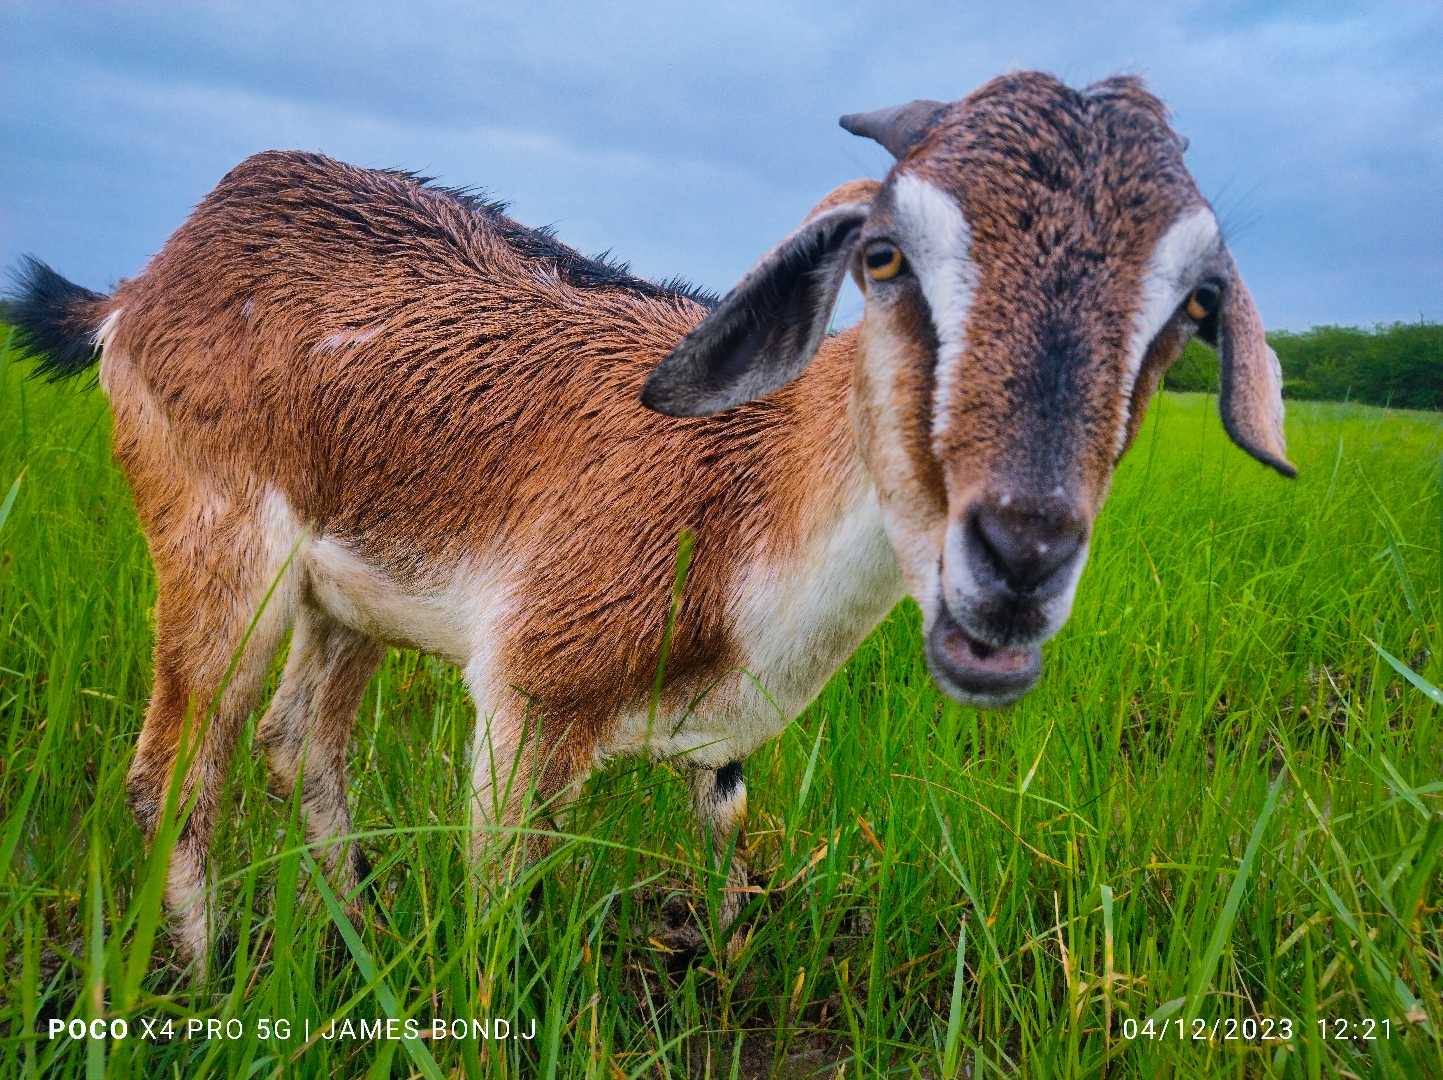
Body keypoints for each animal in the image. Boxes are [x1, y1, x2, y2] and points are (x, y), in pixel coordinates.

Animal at [9, 71, 1293, 973]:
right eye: (884, 255)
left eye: (1195, 305)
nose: (1016, 554)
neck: (742, 493)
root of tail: (144, 285)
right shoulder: (528, 698)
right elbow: (497, 913)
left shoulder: (719, 748)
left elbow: (732, 855)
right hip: (219, 550)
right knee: (173, 770)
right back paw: (209, 977)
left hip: (348, 601)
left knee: (298, 746)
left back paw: (359, 935)